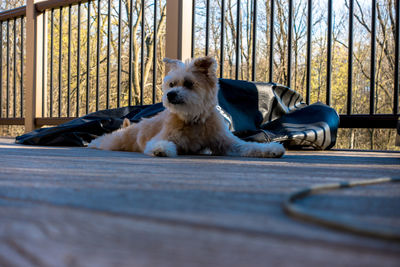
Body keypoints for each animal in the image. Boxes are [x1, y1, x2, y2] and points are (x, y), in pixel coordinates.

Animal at [89, 55, 286, 158]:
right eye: (171, 84)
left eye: (189, 84)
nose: (170, 94)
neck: (193, 120)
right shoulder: (161, 137)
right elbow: (160, 143)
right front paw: (162, 149)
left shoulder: (227, 143)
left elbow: (248, 146)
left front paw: (271, 149)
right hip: (114, 140)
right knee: (104, 139)